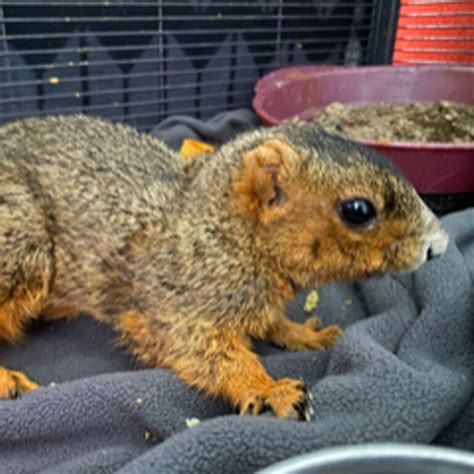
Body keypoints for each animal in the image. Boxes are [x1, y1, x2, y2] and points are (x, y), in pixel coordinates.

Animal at [0, 116, 448, 420]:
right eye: (358, 210)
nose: (439, 245)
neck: (226, 232)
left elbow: (271, 322)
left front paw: (302, 333)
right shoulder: (174, 305)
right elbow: (203, 351)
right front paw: (268, 389)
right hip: (21, 244)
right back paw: (6, 378)